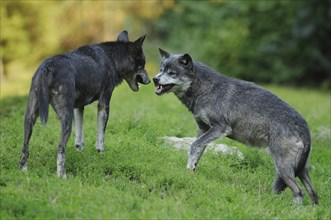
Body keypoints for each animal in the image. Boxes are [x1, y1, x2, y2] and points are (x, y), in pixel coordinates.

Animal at [20, 31, 150, 179]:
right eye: (142, 65)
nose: (151, 81)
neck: (112, 59)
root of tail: (48, 67)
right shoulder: (103, 105)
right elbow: (101, 137)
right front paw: (101, 154)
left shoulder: (78, 108)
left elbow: (79, 139)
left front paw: (80, 153)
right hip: (66, 120)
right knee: (60, 148)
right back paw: (62, 176)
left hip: (29, 119)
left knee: (25, 147)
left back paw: (23, 171)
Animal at [153, 49, 320, 205]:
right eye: (161, 69)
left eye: (172, 73)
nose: (154, 79)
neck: (204, 89)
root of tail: (305, 128)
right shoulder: (204, 130)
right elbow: (197, 150)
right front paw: (191, 171)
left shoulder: (220, 128)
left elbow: (193, 145)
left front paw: (189, 169)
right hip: (300, 170)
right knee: (313, 193)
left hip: (283, 168)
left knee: (298, 191)